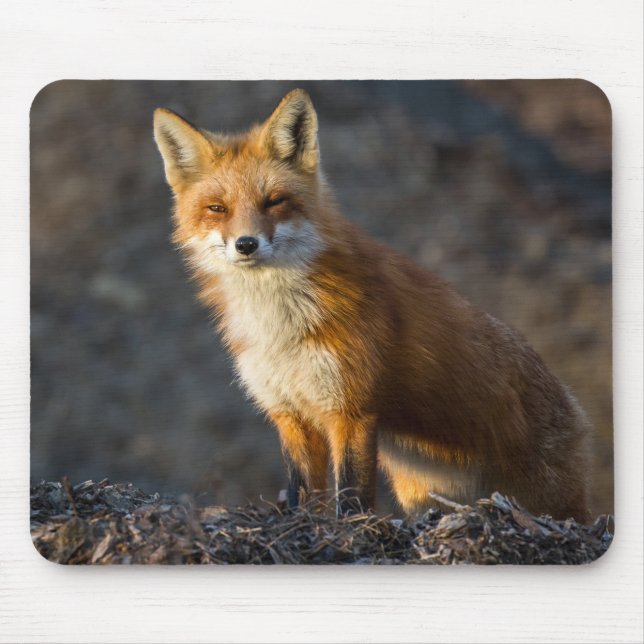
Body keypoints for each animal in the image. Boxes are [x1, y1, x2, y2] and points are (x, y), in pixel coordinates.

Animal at [153, 88, 592, 522]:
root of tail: (575, 409)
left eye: (274, 201)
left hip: (551, 502)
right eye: (217, 208)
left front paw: (352, 530)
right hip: (422, 491)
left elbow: (352, 497)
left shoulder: (351, 409)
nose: (246, 244)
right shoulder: (289, 413)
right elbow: (301, 495)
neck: (281, 325)